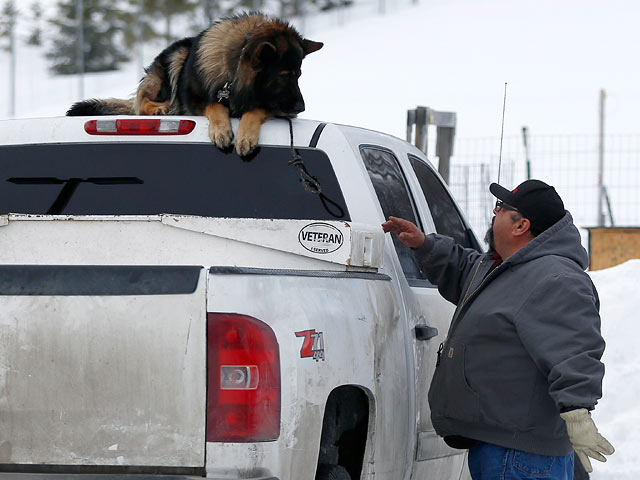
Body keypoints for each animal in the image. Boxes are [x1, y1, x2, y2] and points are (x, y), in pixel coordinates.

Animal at [67, 12, 322, 156]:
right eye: (285, 75)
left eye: (298, 74)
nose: (301, 108)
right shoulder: (193, 98)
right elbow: (214, 105)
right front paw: (221, 130)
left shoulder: (275, 106)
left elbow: (256, 109)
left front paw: (245, 137)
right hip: (177, 55)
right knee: (143, 102)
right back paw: (160, 108)